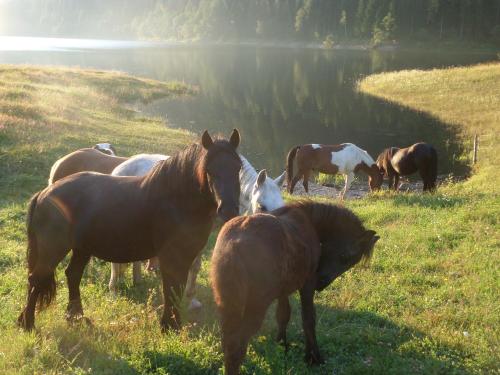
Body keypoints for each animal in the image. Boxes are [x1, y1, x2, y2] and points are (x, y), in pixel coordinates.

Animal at [16, 129, 241, 332]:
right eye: (209, 169)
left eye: (238, 168)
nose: (229, 210)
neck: (175, 200)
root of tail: (44, 194)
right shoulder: (172, 256)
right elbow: (170, 288)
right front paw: (169, 326)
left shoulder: (186, 256)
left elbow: (176, 287)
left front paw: (172, 324)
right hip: (53, 249)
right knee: (36, 279)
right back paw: (28, 323)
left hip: (82, 248)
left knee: (72, 274)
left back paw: (76, 317)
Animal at [106, 153, 286, 312]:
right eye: (262, 206)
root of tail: (118, 169)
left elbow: (195, 266)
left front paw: (191, 299)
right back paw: (114, 290)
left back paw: (136, 280)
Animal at [211, 201, 378, 374]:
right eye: (346, 258)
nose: (321, 283)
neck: (308, 220)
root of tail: (234, 244)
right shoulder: (307, 284)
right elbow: (308, 319)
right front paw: (313, 357)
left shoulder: (283, 290)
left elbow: (283, 315)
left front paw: (281, 344)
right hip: (256, 307)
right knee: (236, 347)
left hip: (227, 307)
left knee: (227, 341)